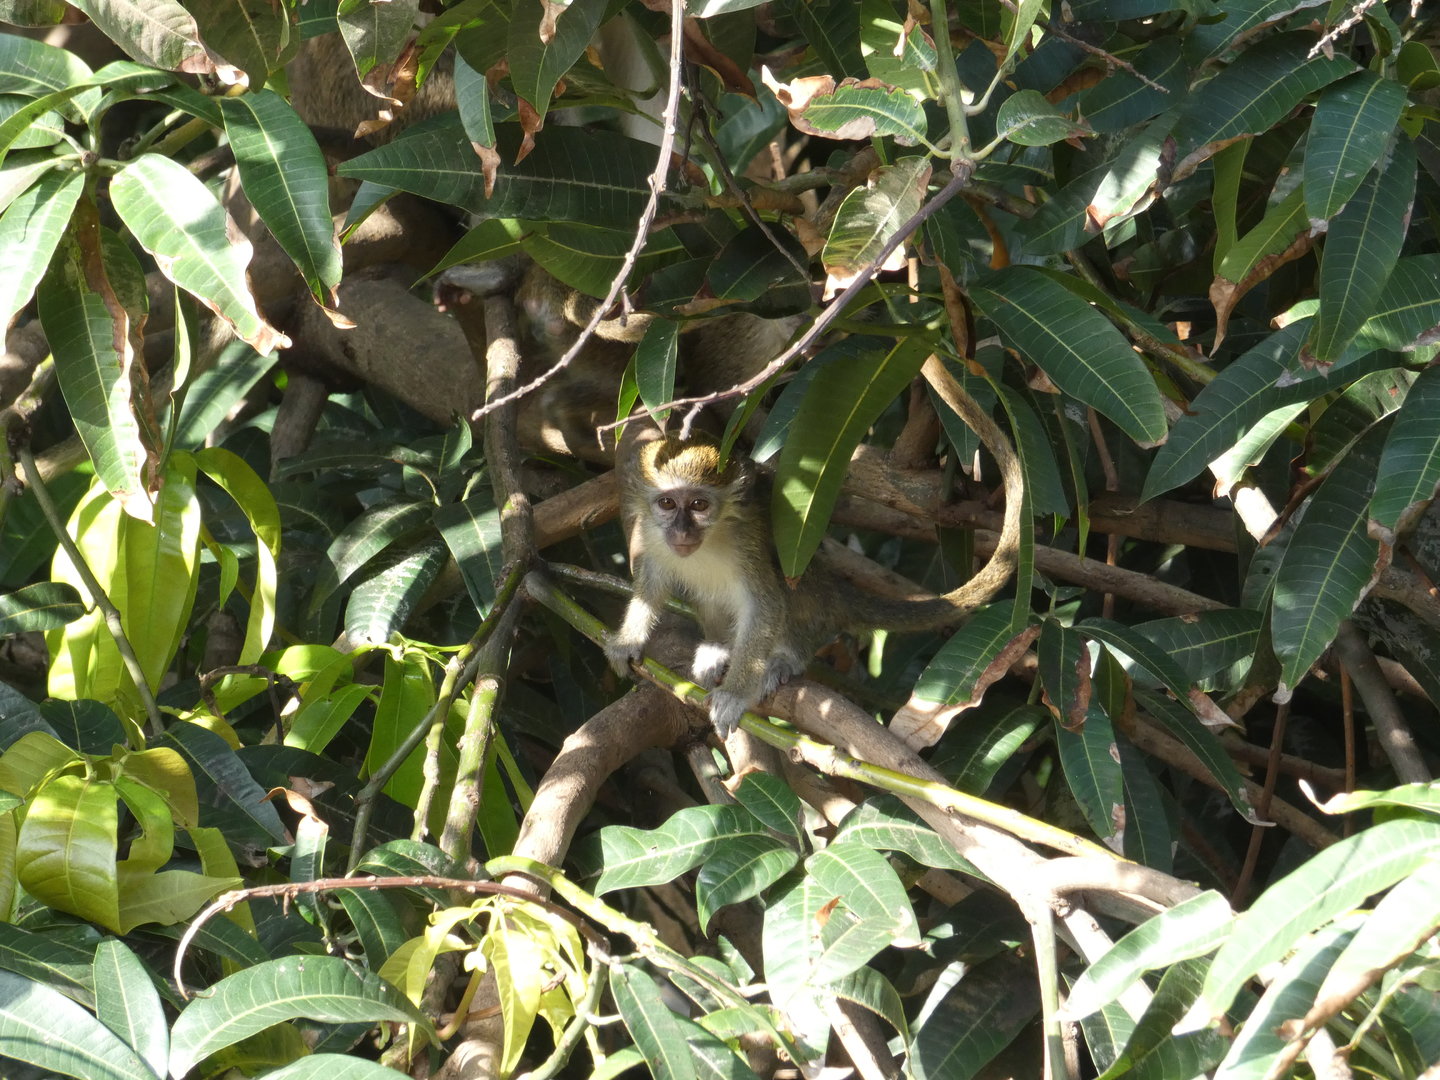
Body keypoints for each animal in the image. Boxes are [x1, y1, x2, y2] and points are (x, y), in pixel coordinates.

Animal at [604, 367, 1025, 737]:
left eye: (698, 505)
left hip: (814, 606)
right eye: (667, 504)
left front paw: (735, 695)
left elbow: (766, 604)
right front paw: (628, 639)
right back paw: (717, 648)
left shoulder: (746, 542)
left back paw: (784, 657)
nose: (681, 530)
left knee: (788, 582)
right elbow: (652, 581)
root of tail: (834, 595)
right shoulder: (650, 533)